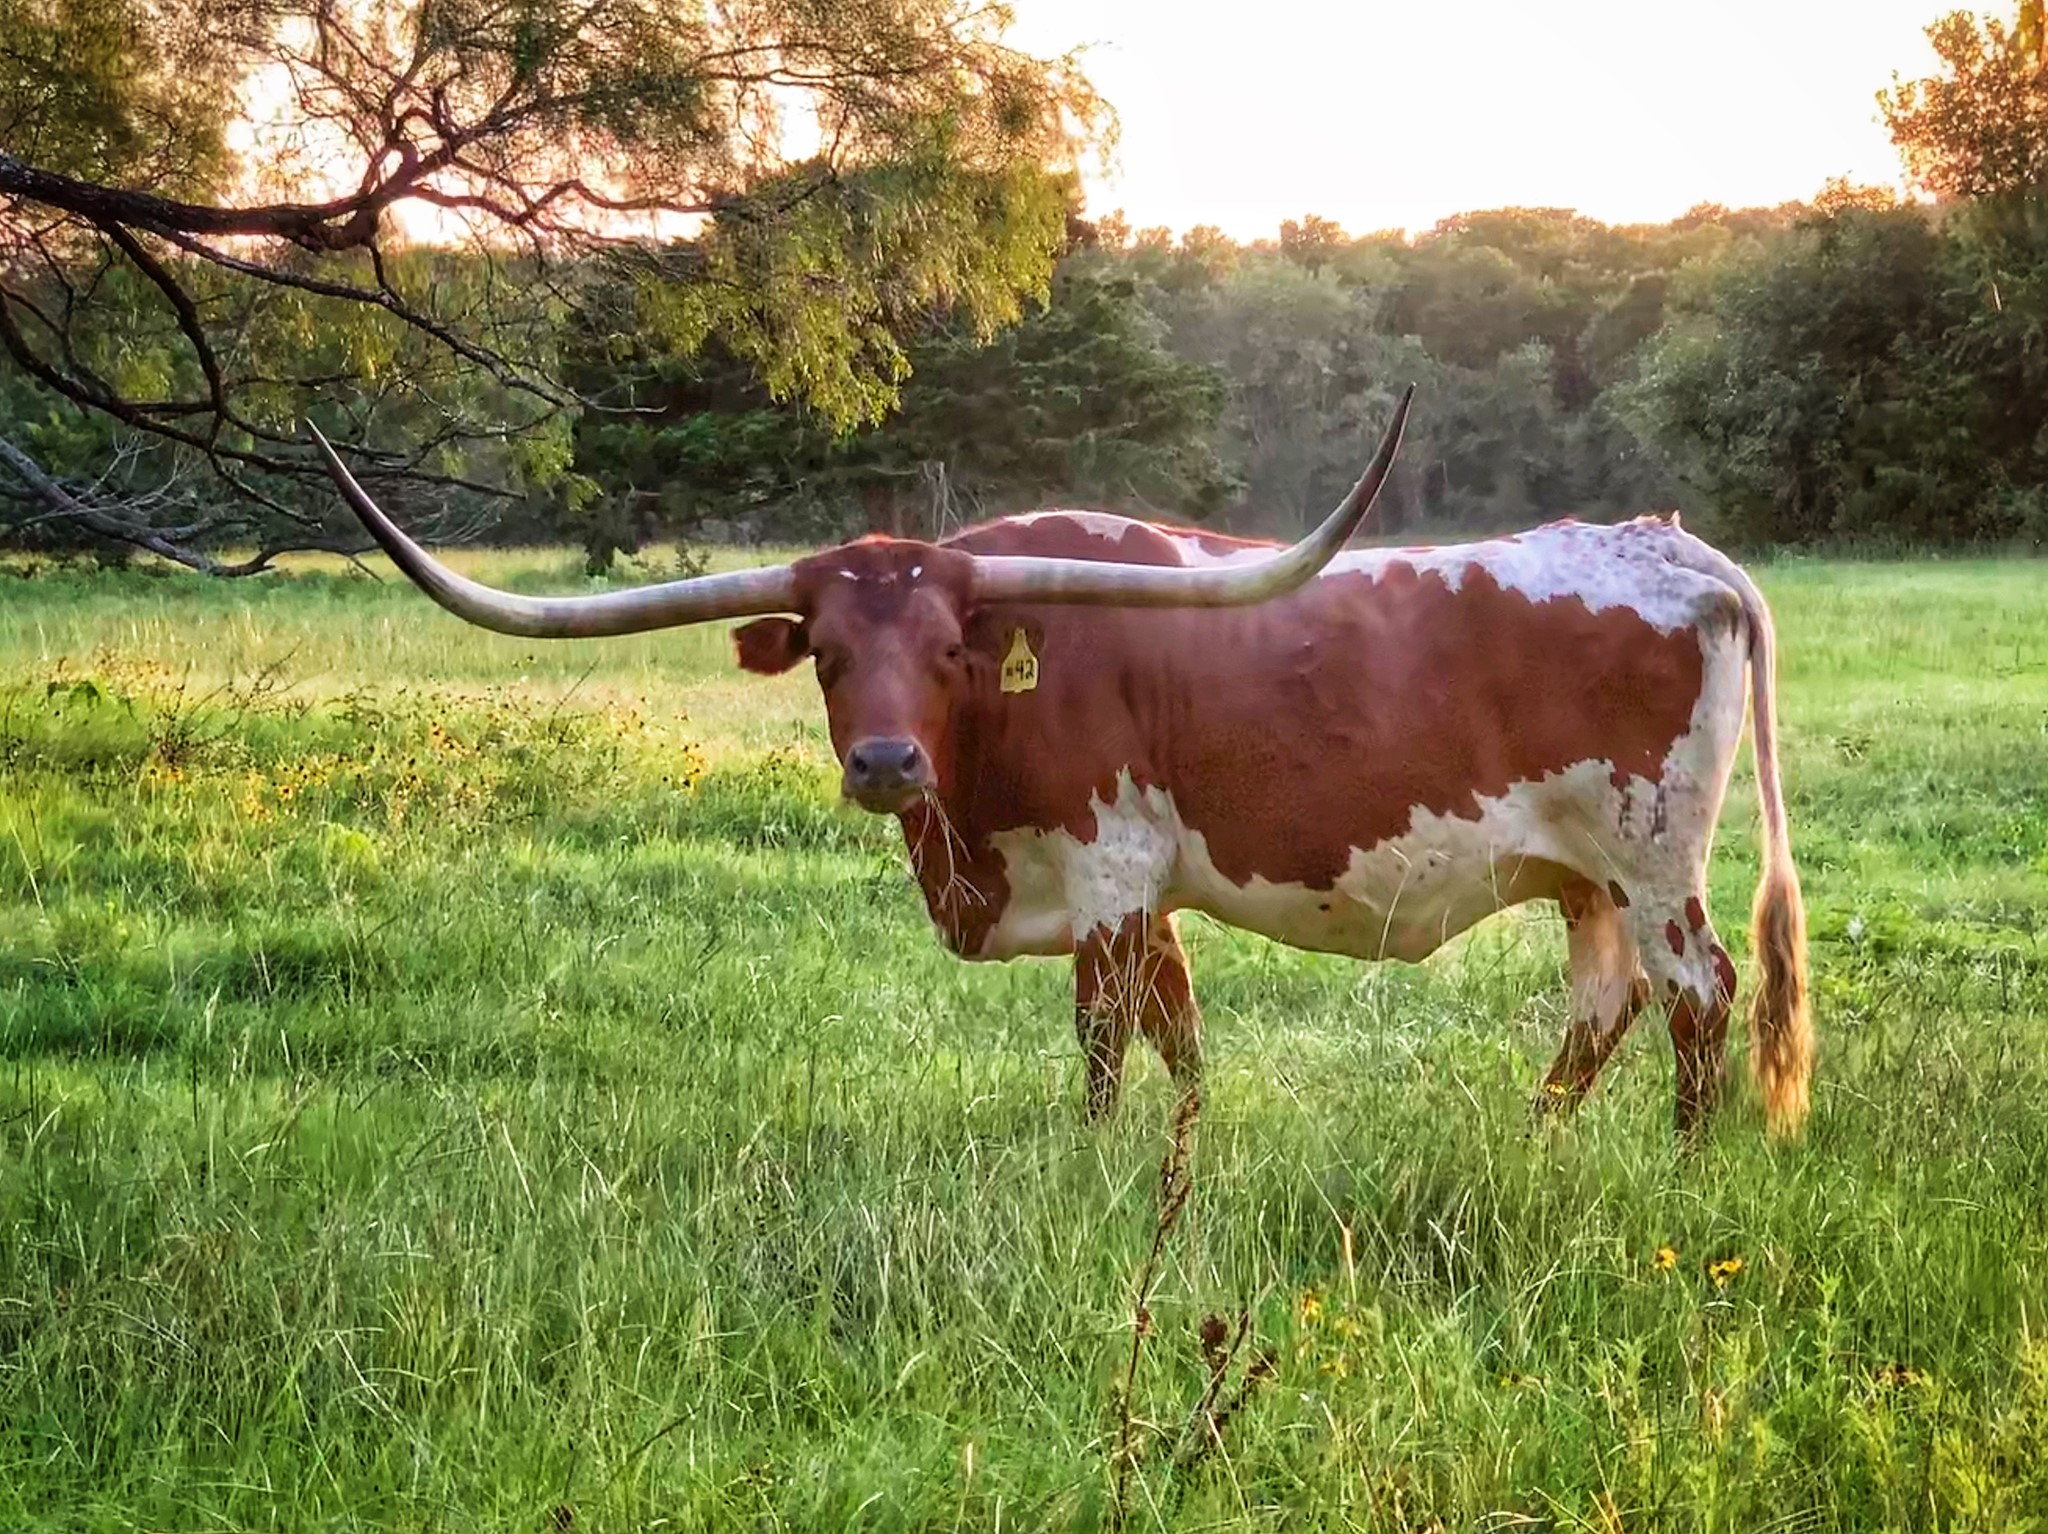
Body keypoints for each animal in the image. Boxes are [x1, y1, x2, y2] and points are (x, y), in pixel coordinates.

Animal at [310, 390, 1812, 1139]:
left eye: (948, 645)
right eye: (827, 654)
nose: (885, 762)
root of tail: (1673, 546)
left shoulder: (1105, 874)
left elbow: (1103, 1036)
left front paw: (1094, 1166)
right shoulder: (1147, 894)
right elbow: (1178, 1034)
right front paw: (1184, 1152)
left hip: (1652, 853)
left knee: (1701, 994)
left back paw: (1684, 1157)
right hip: (1581, 875)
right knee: (1604, 1004)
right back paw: (1533, 1138)